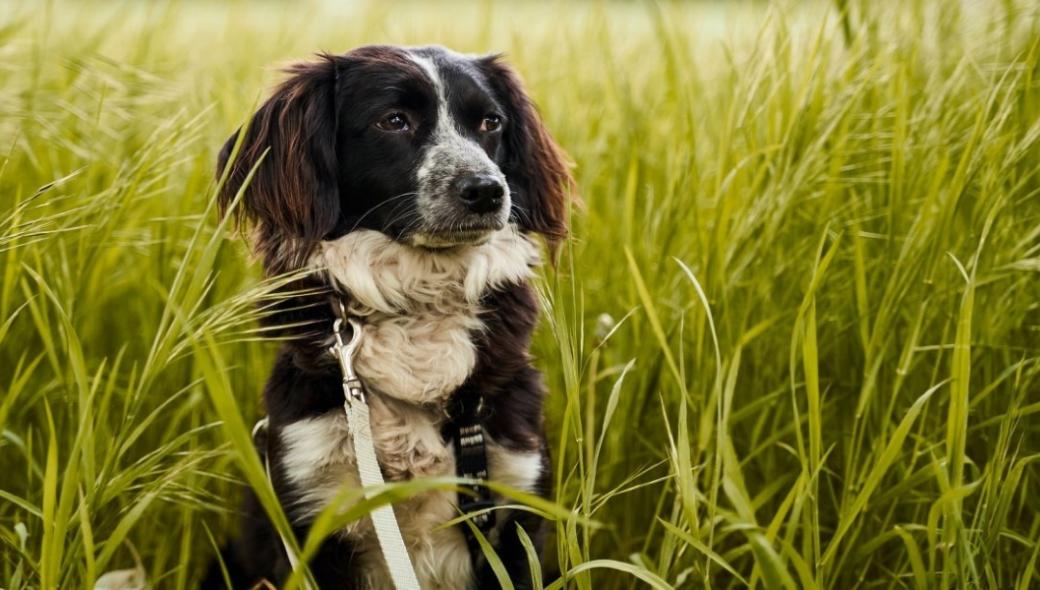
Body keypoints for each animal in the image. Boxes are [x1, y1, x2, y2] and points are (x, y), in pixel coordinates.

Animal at [202, 43, 574, 586]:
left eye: (491, 122)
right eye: (393, 120)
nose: (487, 190)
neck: (418, 303)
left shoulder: (513, 508)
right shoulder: (313, 512)